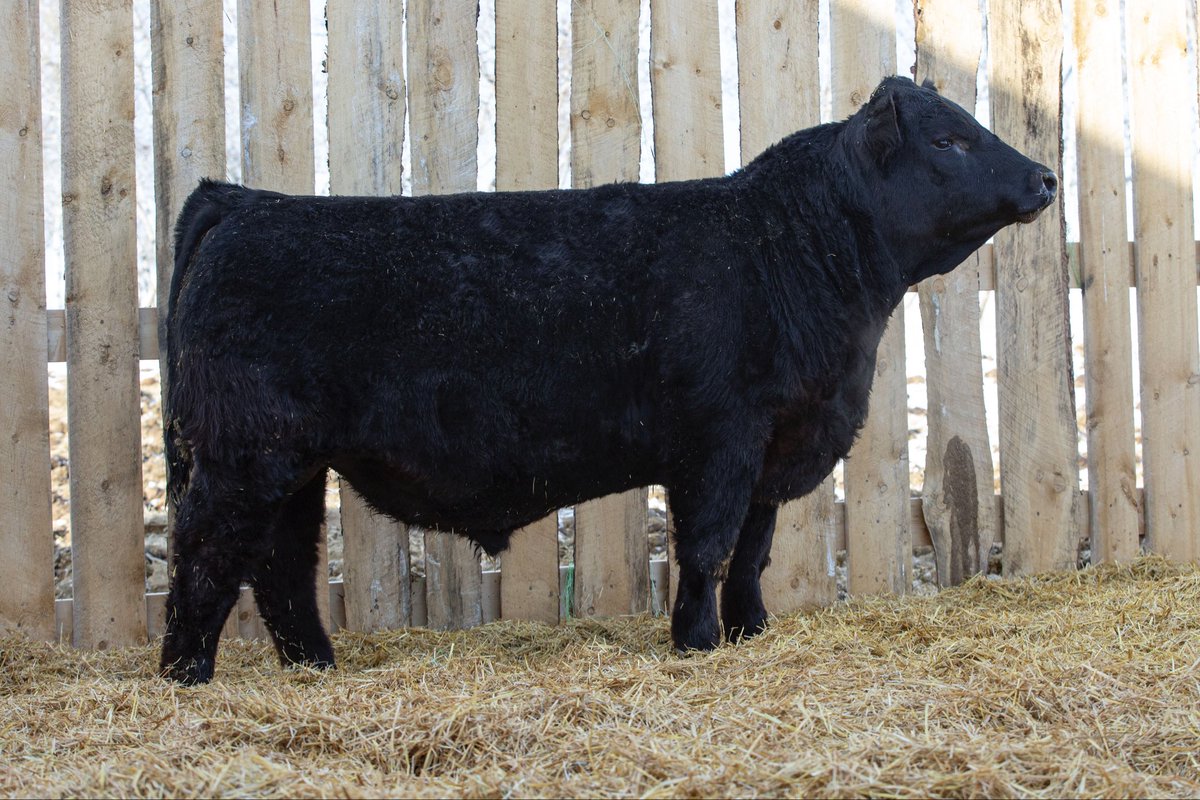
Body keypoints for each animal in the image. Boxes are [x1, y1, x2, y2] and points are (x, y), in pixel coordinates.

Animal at [160, 76, 1057, 684]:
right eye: (946, 141)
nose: (1046, 178)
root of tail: (243, 202)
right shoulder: (722, 440)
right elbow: (708, 548)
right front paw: (696, 641)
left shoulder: (776, 447)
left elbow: (755, 551)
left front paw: (752, 632)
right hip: (247, 451)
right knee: (208, 546)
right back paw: (185, 674)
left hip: (293, 462)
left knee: (281, 560)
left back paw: (315, 664)